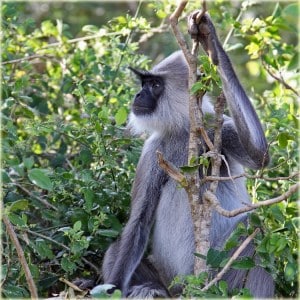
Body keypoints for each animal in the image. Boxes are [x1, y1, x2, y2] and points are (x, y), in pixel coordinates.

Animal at [102, 12, 274, 298]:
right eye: (143, 83)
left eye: (155, 85)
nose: (138, 95)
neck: (184, 131)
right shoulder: (153, 150)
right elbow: (138, 222)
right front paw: (112, 288)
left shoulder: (216, 128)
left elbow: (260, 155)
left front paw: (210, 40)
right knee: (116, 248)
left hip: (218, 273)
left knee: (253, 232)